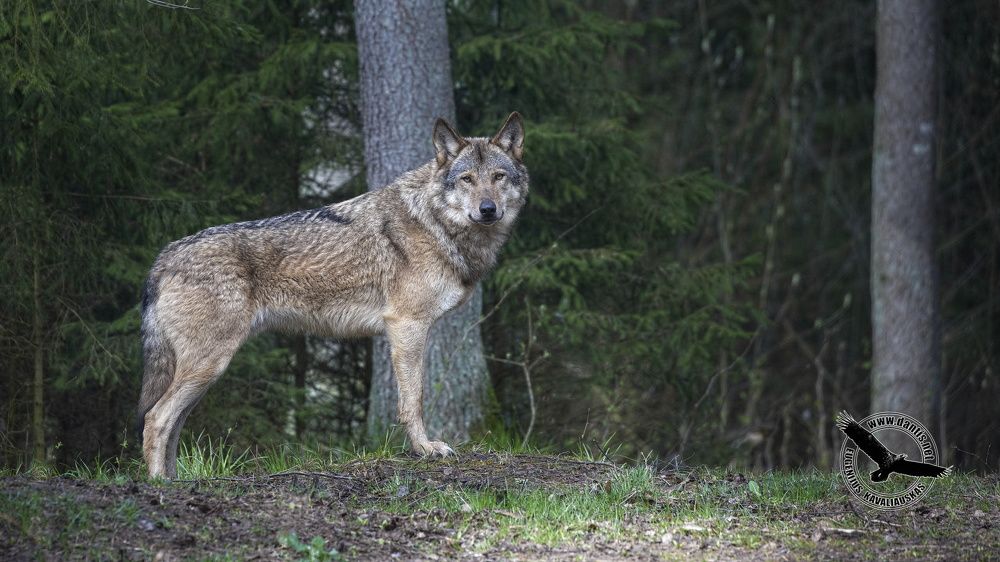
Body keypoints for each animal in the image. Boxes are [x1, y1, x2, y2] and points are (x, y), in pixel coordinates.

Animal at [138, 113, 528, 478]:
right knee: (156, 418)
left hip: (205, 371)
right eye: (467, 179)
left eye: (498, 177)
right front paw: (425, 449)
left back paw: (173, 479)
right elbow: (413, 399)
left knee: (173, 422)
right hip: (210, 364)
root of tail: (163, 258)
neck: (434, 222)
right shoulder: (407, 325)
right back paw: (160, 484)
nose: (488, 209)